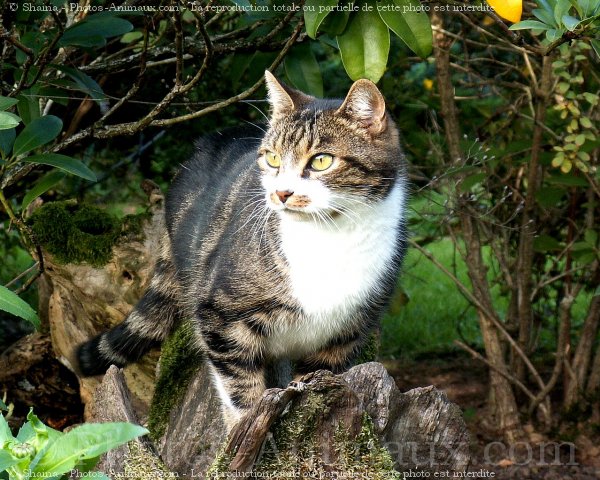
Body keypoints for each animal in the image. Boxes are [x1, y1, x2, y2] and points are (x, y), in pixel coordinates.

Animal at [76, 72, 408, 428]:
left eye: (322, 161)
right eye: (273, 158)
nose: (282, 193)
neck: (329, 238)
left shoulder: (345, 336)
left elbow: (315, 383)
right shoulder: (221, 318)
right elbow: (239, 389)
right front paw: (243, 430)